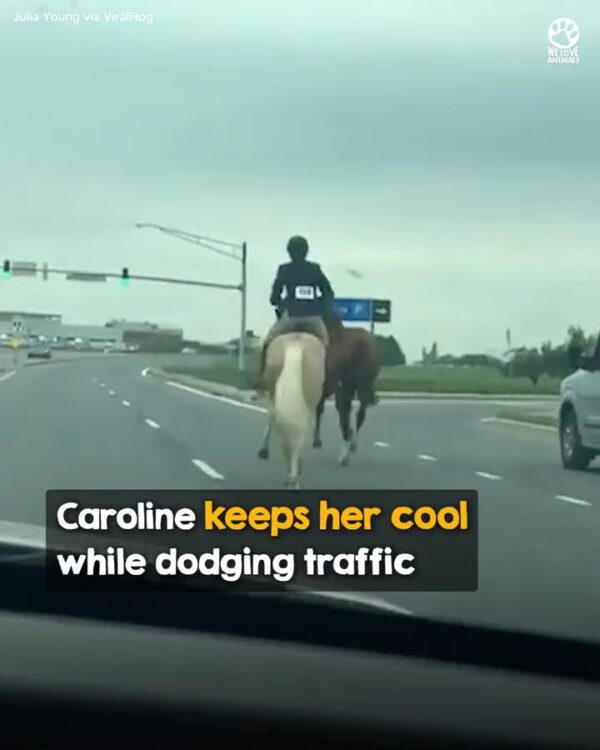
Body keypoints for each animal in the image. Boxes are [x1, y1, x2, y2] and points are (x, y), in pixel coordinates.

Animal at [314, 310, 380, 464]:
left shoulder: (331, 386)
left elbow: (323, 409)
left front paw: (317, 441)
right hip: (364, 383)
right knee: (360, 414)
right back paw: (351, 446)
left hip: (344, 385)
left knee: (343, 412)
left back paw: (344, 454)